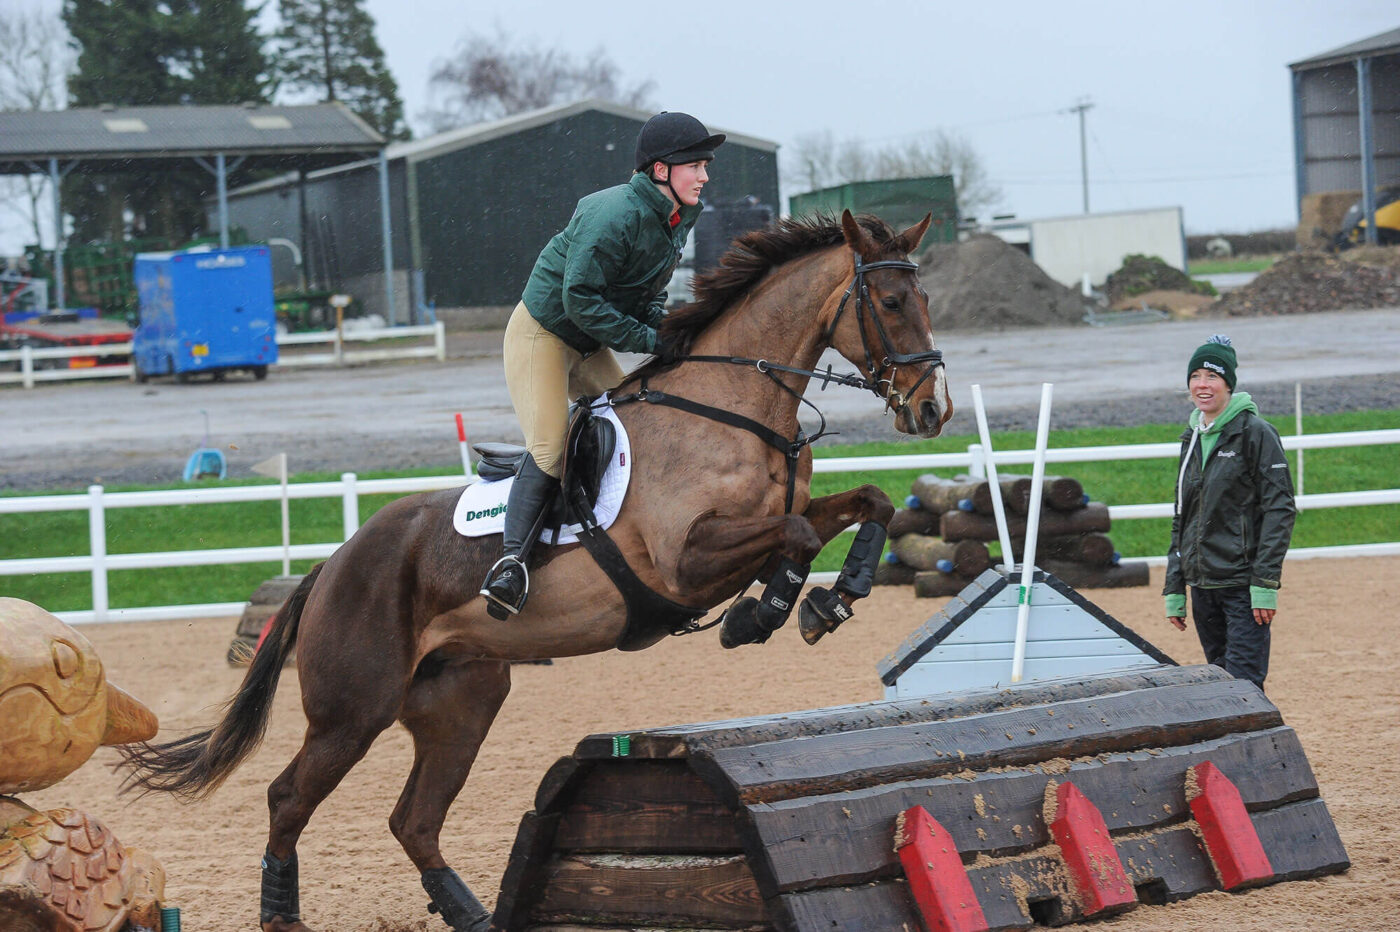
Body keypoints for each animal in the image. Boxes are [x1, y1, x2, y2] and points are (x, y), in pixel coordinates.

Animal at [117, 209, 952, 929]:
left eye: (925, 297)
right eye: (889, 300)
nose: (930, 410)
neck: (736, 410)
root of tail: (329, 567)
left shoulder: (776, 521)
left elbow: (867, 505)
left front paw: (834, 599)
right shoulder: (686, 561)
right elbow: (793, 537)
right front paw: (764, 612)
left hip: (463, 700)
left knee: (414, 820)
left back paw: (472, 914)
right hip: (354, 709)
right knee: (289, 798)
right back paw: (281, 913)